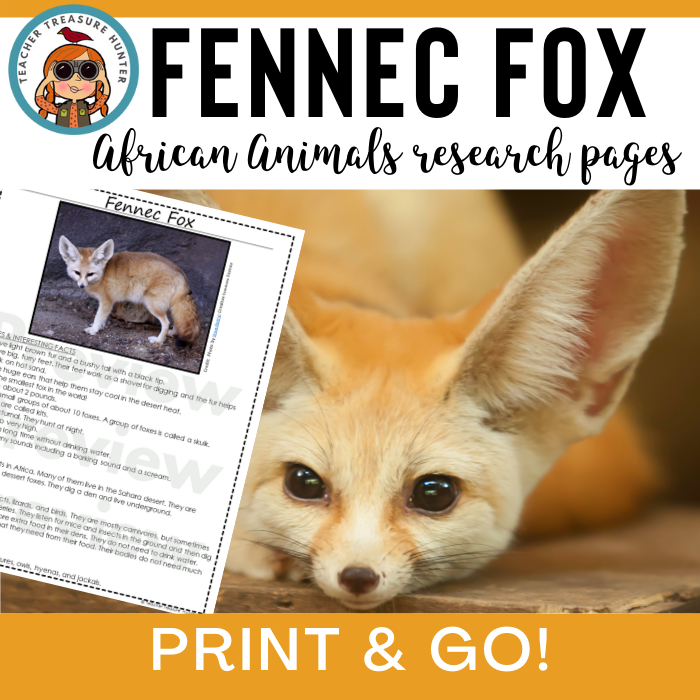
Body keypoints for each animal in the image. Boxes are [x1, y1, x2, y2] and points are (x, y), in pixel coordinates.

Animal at [58, 236, 201, 346]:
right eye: (77, 273)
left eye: (90, 274)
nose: (81, 285)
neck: (103, 275)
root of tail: (180, 272)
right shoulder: (107, 303)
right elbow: (103, 318)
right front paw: (100, 327)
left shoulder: (106, 301)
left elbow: (98, 316)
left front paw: (94, 330)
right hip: (169, 306)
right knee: (176, 321)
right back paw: (172, 333)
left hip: (153, 306)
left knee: (166, 323)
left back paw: (159, 341)